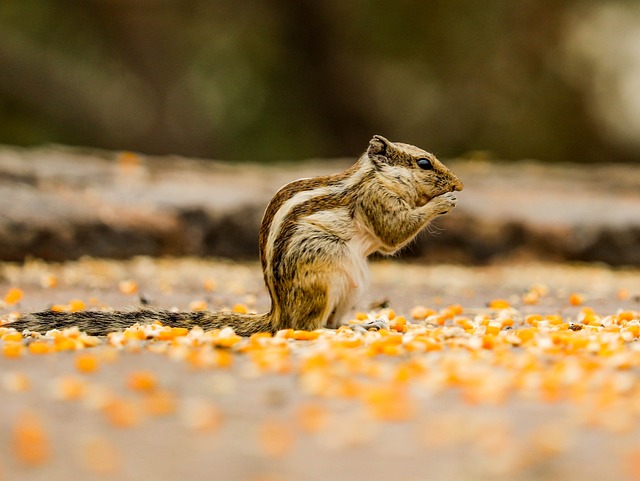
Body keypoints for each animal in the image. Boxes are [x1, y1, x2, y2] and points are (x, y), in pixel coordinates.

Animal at [8, 135, 460, 336]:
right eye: (424, 162)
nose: (458, 181)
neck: (373, 176)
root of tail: (277, 312)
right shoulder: (375, 201)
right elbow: (393, 233)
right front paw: (443, 202)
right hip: (324, 274)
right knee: (308, 327)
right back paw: (348, 330)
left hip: (353, 285)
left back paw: (368, 324)